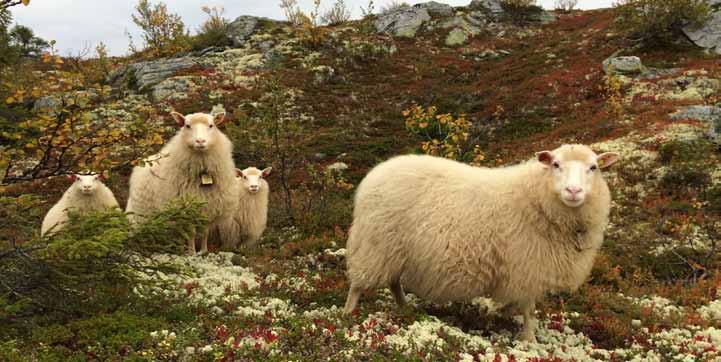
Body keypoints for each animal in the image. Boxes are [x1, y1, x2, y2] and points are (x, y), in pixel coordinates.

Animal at [124, 110, 236, 255]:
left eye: (211, 125)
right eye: (187, 126)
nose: (200, 141)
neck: (202, 171)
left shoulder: (208, 206)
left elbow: (204, 232)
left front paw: (204, 251)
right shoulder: (185, 209)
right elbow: (191, 233)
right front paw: (192, 253)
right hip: (142, 218)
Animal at [344, 144, 620, 342]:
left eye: (594, 167)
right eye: (555, 164)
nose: (573, 191)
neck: (537, 197)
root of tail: (374, 174)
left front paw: (495, 313)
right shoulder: (527, 267)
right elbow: (529, 309)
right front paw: (528, 338)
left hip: (393, 249)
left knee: (393, 282)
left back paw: (405, 309)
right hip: (374, 243)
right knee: (358, 284)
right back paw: (347, 314)